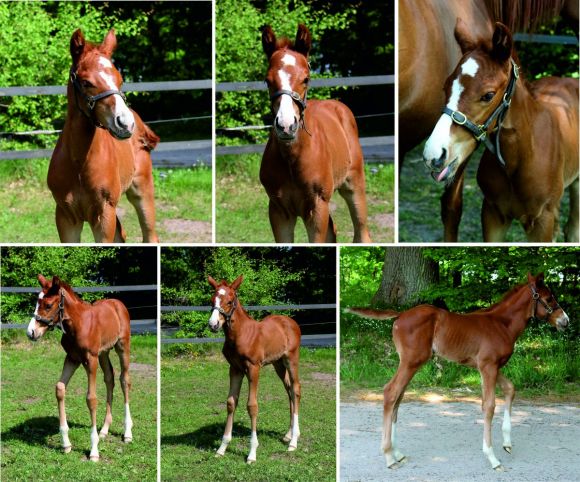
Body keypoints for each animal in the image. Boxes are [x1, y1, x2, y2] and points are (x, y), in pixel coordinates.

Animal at [26, 274, 133, 460]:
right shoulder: (72, 358)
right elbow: (60, 388)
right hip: (103, 352)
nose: (31, 332)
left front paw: (94, 451)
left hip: (122, 346)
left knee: (124, 380)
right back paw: (104, 430)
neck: (78, 324)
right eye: (37, 302)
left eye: (48, 305)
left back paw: (127, 433)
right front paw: (66, 443)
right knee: (110, 379)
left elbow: (91, 399)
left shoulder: (90, 360)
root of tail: (117, 303)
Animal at [48, 28, 159, 243]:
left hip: (141, 190)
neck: (78, 163)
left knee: (150, 235)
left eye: (120, 80)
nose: (125, 123)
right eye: (86, 82)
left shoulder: (104, 213)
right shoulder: (65, 216)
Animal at [206, 276, 302, 466]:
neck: (241, 334)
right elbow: (231, 403)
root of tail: (290, 321)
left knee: (296, 389)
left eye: (229, 301)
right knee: (288, 390)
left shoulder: (253, 368)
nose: (213, 324)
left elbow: (252, 406)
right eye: (212, 300)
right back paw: (288, 435)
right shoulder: (235, 369)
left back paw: (294, 441)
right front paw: (222, 448)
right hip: (278, 363)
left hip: (291, 360)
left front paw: (252, 453)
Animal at [260, 24, 370, 243]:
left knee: (362, 231)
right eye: (267, 81)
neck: (292, 158)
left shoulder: (318, 206)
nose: (286, 125)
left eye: (306, 79)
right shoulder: (278, 210)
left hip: (354, 185)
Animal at [346, 274, 568, 470]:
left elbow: (510, 389)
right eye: (549, 298)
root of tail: (400, 315)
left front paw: (507, 443)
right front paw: (492, 458)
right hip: (411, 362)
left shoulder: (490, 367)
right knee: (391, 392)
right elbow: (489, 406)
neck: (501, 324)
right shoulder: (488, 366)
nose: (565, 321)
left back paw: (398, 453)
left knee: (398, 398)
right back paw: (389, 457)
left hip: (410, 363)